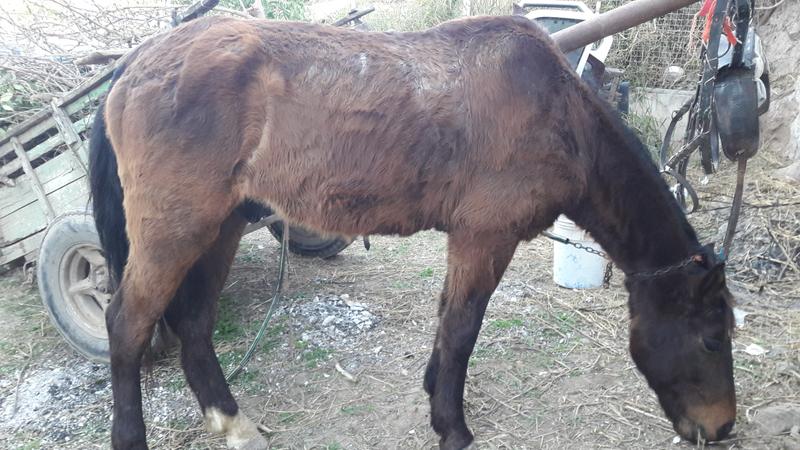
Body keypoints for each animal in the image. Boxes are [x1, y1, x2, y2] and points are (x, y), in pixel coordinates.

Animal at [89, 14, 736, 450]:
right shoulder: (485, 237)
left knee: (195, 325)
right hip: (175, 231)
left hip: (220, 226)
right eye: (711, 339)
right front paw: (452, 426)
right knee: (128, 324)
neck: (557, 114)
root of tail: (133, 64)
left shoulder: (467, 240)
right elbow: (462, 329)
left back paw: (234, 424)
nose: (723, 428)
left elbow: (449, 320)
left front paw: (434, 395)